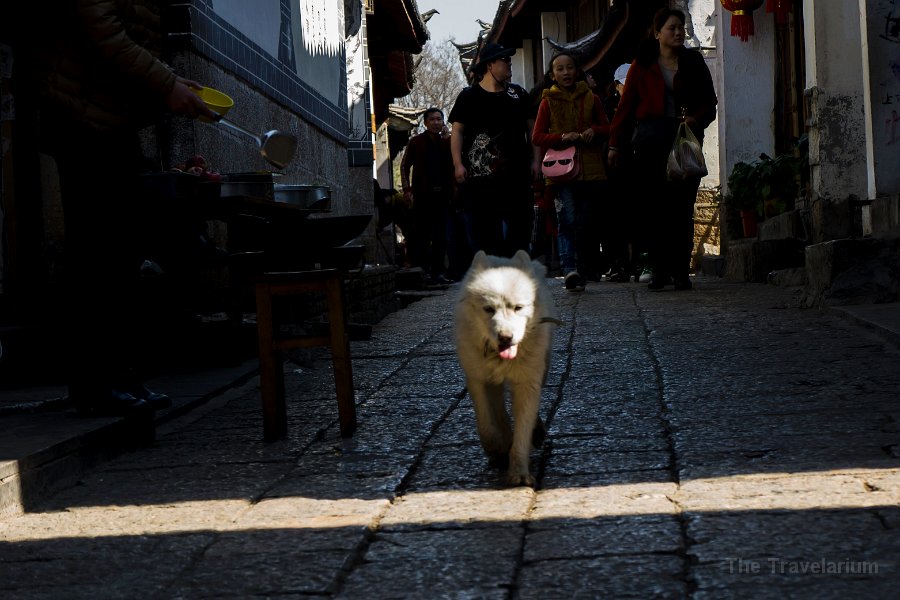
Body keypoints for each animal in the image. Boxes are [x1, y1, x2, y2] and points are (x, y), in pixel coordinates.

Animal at [458, 250, 556, 488]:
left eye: (518, 308)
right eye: (489, 309)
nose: (505, 337)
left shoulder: (528, 382)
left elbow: (522, 430)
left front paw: (519, 473)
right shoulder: (478, 380)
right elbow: (486, 426)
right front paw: (498, 449)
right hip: (494, 384)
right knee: (499, 412)